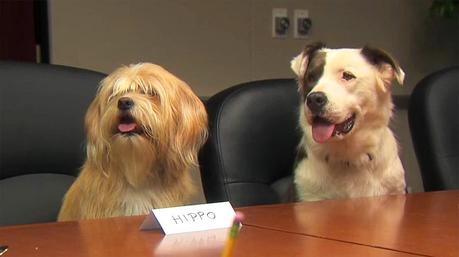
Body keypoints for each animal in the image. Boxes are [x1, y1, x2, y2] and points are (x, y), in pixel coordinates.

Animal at [292, 42, 406, 200]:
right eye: (311, 77)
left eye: (347, 76)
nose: (314, 99)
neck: (348, 157)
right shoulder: (308, 195)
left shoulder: (395, 189)